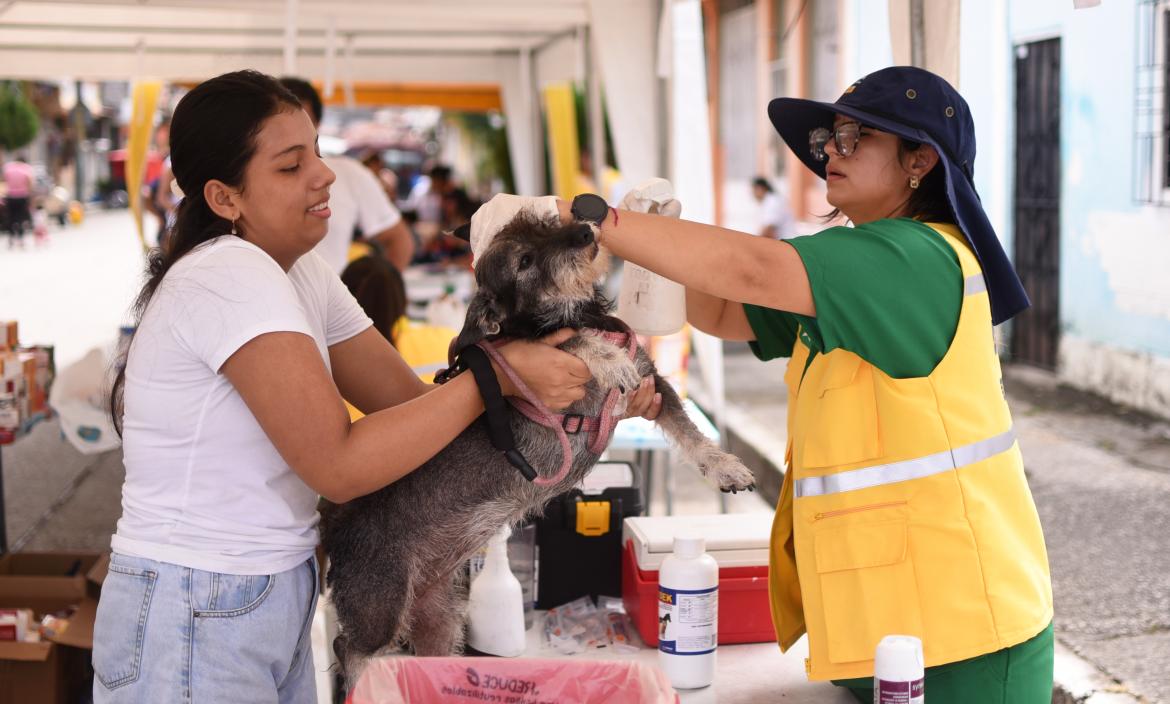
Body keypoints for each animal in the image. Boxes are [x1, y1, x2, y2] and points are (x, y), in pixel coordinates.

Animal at [318, 210, 758, 682]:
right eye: (525, 260)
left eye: (549, 221)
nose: (584, 230)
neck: (578, 313)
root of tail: (334, 519)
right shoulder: (545, 352)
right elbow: (570, 341)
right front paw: (606, 357)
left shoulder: (652, 385)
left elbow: (687, 429)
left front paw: (725, 467)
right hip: (379, 603)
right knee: (348, 646)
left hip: (439, 611)